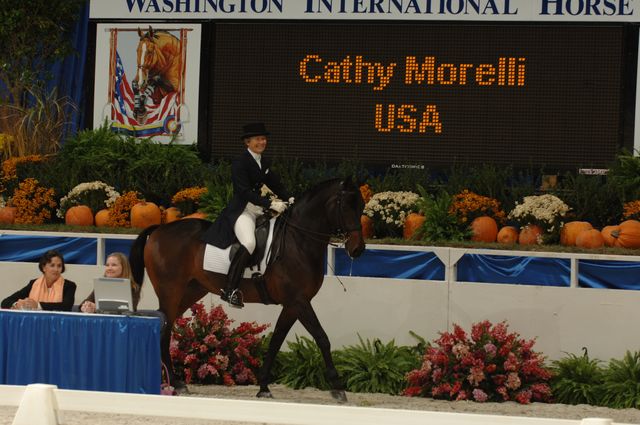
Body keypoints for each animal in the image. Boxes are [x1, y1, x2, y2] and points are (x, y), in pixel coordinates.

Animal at [130, 176, 364, 400]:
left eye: (361, 206)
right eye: (346, 206)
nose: (358, 249)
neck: (298, 242)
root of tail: (159, 229)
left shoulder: (292, 305)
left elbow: (276, 341)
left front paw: (263, 387)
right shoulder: (298, 301)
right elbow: (322, 338)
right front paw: (337, 388)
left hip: (191, 291)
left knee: (166, 326)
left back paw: (173, 381)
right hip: (171, 291)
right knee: (164, 328)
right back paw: (174, 383)